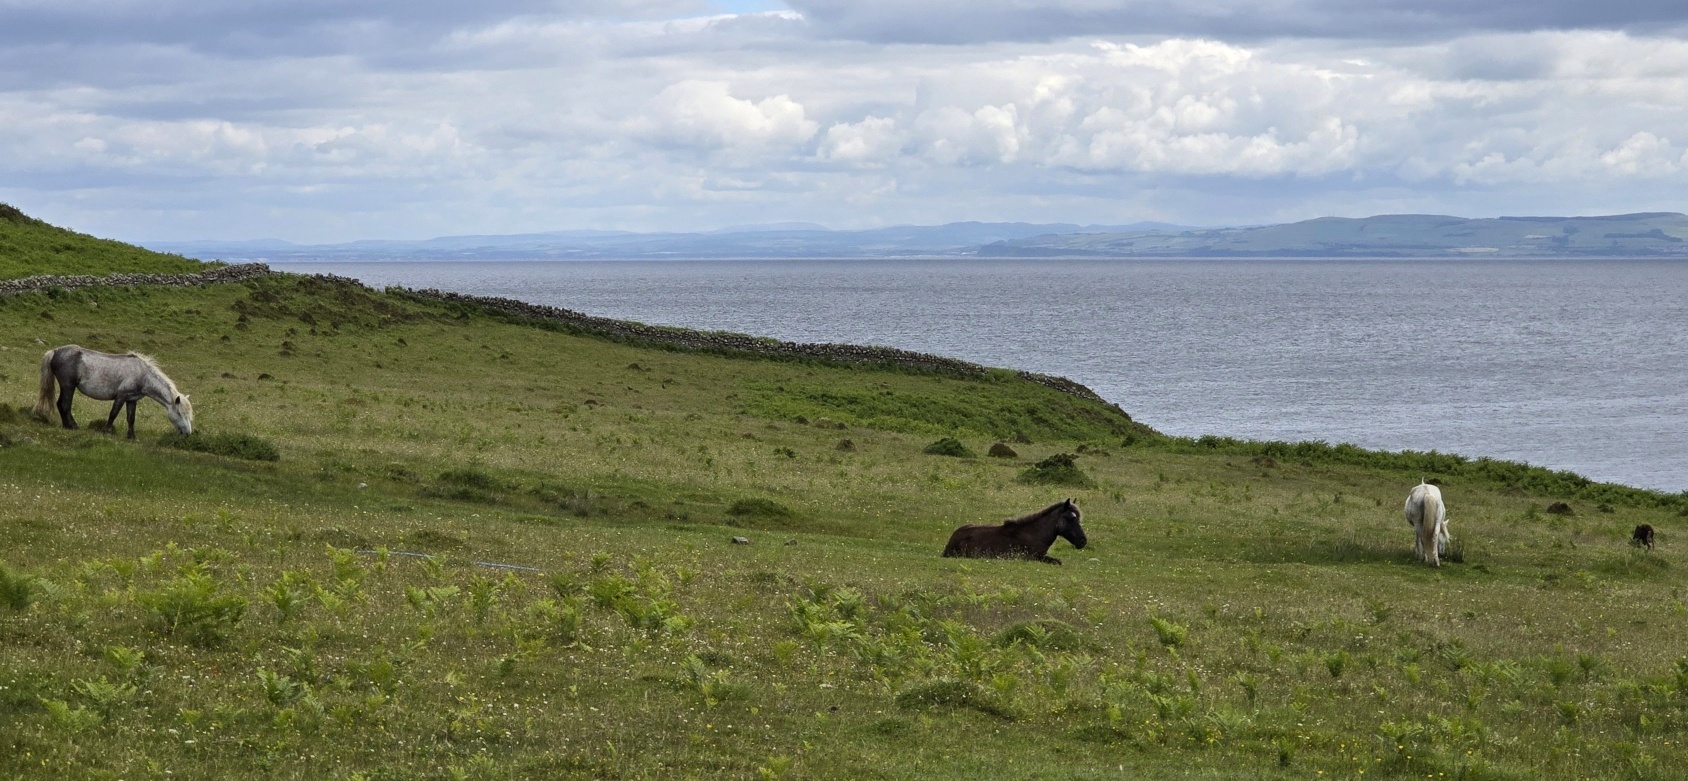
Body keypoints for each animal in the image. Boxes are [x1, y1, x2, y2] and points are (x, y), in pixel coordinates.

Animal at [34, 345, 193, 439]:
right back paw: (72, 426)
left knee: (61, 405)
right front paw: (107, 431)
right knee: (64, 405)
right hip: (68, 386)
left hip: (67, 387)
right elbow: (113, 413)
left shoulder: (131, 399)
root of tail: (55, 351)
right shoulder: (121, 396)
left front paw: (132, 437)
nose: (187, 433)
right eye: (180, 413)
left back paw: (68, 425)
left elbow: (131, 418)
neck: (143, 375)